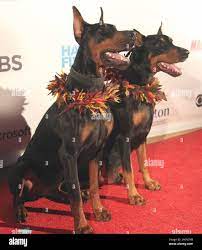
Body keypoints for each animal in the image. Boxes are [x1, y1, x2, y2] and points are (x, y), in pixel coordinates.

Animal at [7, 6, 142, 232]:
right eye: (103, 30)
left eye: (114, 27)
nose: (134, 34)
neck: (91, 91)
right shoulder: (69, 153)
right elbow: (76, 192)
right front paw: (82, 225)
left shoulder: (96, 150)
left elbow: (94, 186)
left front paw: (99, 211)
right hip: (21, 166)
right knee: (18, 196)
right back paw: (20, 211)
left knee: (54, 191)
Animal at [104, 22, 189, 204]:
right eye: (159, 44)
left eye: (171, 41)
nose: (187, 52)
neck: (140, 85)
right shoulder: (124, 136)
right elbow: (129, 169)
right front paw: (134, 195)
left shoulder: (143, 134)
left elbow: (143, 163)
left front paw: (149, 183)